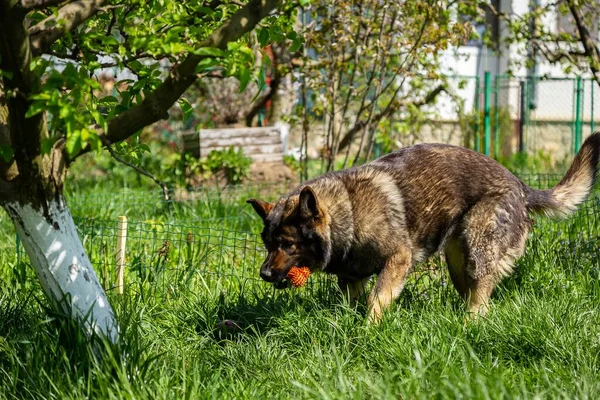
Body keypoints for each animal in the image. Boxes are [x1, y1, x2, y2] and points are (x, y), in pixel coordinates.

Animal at [245, 133, 600, 324]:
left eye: (288, 245)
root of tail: (521, 186)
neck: (350, 212)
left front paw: (369, 330)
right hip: (457, 263)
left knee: (481, 297)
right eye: (267, 243)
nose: (264, 274)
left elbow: (376, 300)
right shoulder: (350, 278)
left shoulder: (397, 261)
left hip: (477, 249)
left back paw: (470, 324)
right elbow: (357, 300)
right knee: (474, 294)